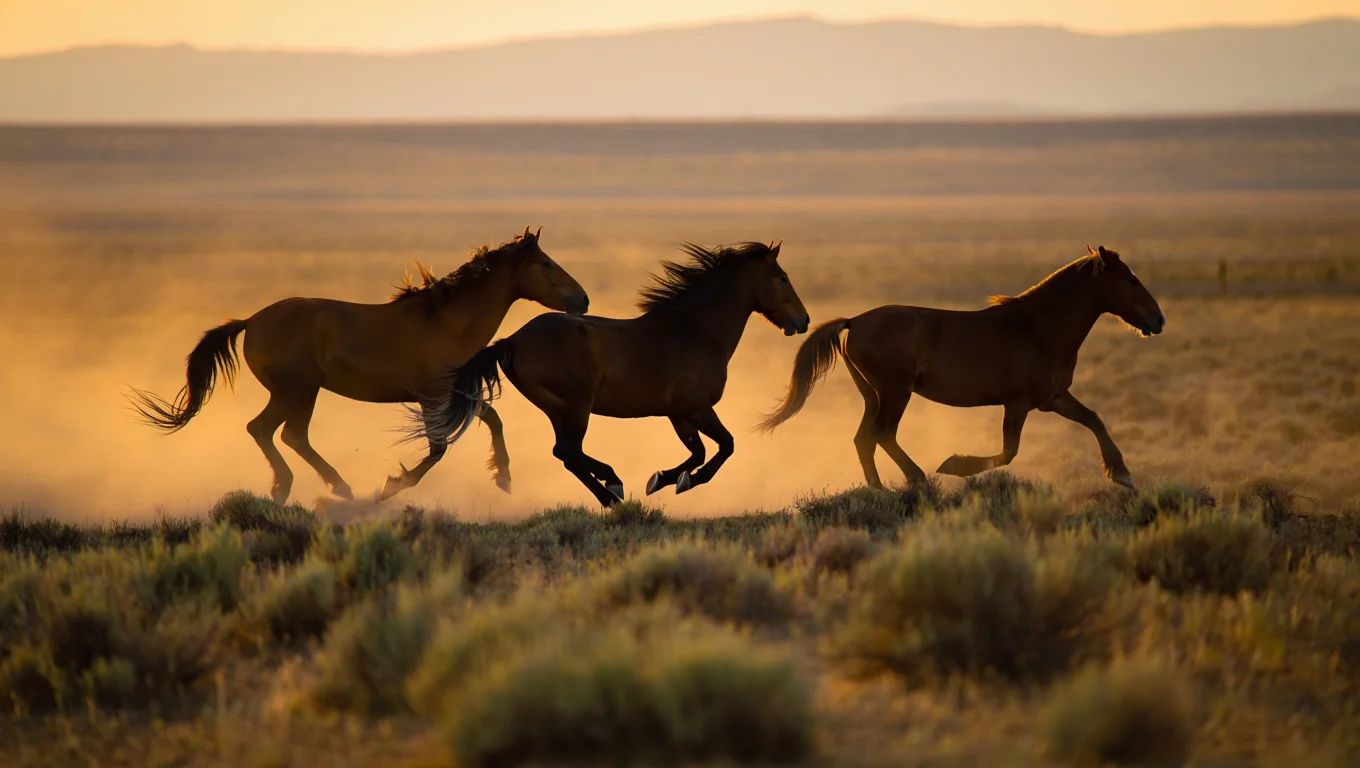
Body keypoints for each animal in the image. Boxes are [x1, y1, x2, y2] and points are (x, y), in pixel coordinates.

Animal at [129, 227, 589, 504]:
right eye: (546, 264)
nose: (582, 300)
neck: (445, 320)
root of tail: (251, 321)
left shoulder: (451, 392)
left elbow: (492, 420)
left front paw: (504, 477)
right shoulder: (431, 396)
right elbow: (438, 449)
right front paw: (391, 487)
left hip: (303, 393)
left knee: (291, 435)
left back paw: (336, 487)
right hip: (293, 390)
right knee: (264, 429)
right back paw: (294, 488)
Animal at [425, 241, 810, 507]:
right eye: (784, 278)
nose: (802, 320)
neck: (696, 330)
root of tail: (513, 340)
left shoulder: (678, 413)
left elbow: (700, 451)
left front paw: (664, 479)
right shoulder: (695, 408)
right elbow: (724, 446)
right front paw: (680, 481)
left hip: (557, 410)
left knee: (566, 454)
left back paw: (610, 488)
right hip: (576, 407)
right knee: (567, 451)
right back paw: (612, 487)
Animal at [759, 245, 1164, 491]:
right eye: (1130, 279)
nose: (1158, 320)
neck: (1038, 327)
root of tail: (854, 322)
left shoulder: (1053, 398)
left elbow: (1094, 419)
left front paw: (1122, 473)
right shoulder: (1018, 402)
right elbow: (1008, 451)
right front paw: (955, 464)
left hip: (872, 395)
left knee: (864, 439)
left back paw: (878, 489)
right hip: (895, 391)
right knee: (883, 434)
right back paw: (918, 478)